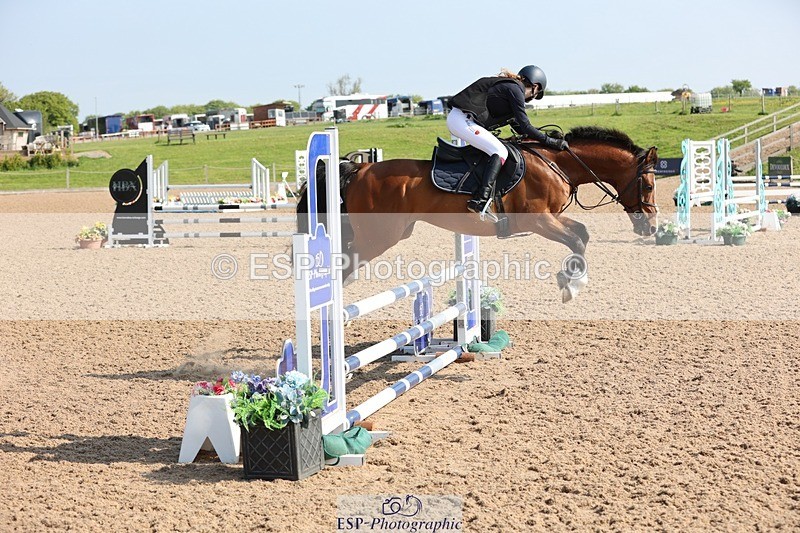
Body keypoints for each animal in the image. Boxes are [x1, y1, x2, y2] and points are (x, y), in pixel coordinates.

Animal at [298, 126, 658, 302]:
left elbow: (582, 234)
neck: (555, 162)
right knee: (344, 262)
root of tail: (359, 168)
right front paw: (569, 286)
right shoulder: (538, 220)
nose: (651, 228)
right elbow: (577, 240)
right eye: (649, 185)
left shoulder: (551, 217)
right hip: (378, 238)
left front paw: (572, 280)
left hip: (386, 233)